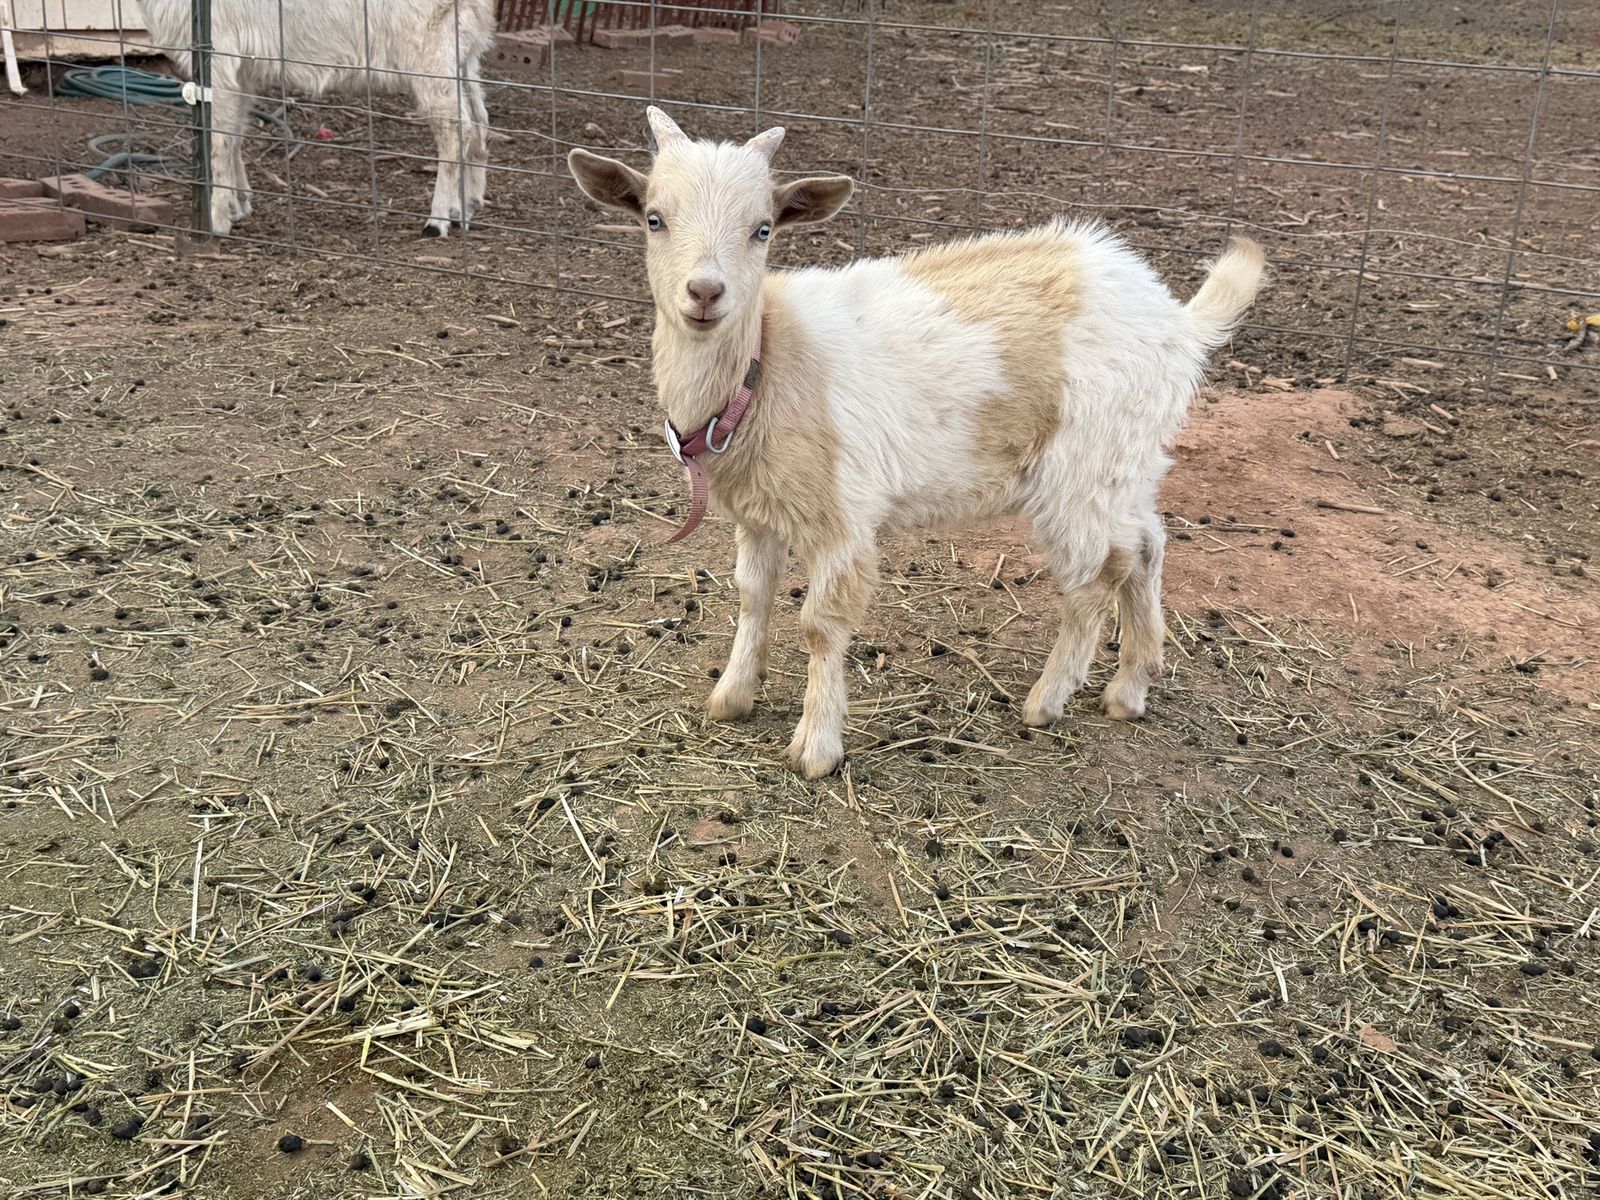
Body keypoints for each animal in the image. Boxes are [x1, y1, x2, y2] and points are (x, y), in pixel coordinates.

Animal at [136, 0, 495, 237]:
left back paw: (437, 221)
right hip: (463, 51)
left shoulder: (219, 57)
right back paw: (466, 207)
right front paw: (239, 205)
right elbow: (235, 133)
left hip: (429, 50)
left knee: (455, 128)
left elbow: (218, 140)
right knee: (479, 121)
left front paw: (217, 219)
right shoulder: (243, 69)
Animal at [569, 108, 1265, 779]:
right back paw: (1131, 688)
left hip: (1081, 469)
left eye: (763, 228)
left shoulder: (844, 515)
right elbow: (752, 596)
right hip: (1129, 459)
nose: (705, 292)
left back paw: (1048, 700)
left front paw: (816, 748)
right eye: (654, 218)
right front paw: (733, 696)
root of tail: (1177, 324)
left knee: (1097, 576)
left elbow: (820, 624)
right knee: (1146, 547)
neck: (767, 361)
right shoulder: (759, 512)